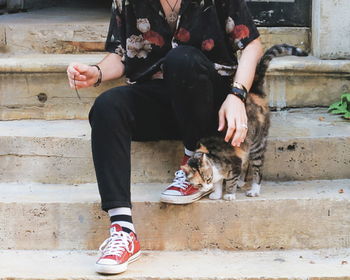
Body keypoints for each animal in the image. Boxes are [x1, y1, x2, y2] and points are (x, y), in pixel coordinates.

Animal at [180, 43, 306, 200]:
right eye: (198, 184)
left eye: (207, 178)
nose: (206, 187)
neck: (211, 155)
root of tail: (255, 91)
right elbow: (219, 182)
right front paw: (216, 193)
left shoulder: (234, 164)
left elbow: (230, 181)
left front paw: (228, 194)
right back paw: (241, 182)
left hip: (257, 144)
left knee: (257, 170)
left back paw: (254, 190)